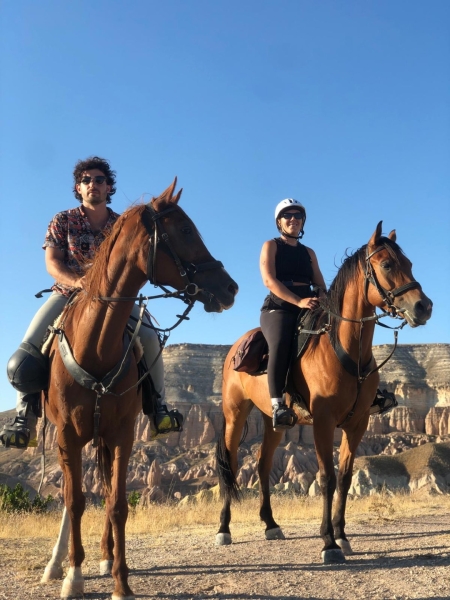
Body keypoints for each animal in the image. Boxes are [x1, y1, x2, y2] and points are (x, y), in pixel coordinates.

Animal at [39, 179, 239, 600]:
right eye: (185, 230)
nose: (230, 288)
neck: (96, 346)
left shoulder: (122, 434)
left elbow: (116, 504)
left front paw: (120, 581)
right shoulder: (66, 435)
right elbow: (74, 501)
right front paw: (73, 576)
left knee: (101, 489)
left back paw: (103, 556)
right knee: (71, 499)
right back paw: (57, 564)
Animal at [217, 220, 432, 564]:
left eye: (409, 264)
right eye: (387, 264)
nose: (423, 306)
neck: (345, 351)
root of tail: (235, 349)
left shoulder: (357, 424)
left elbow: (344, 478)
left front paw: (342, 536)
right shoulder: (323, 422)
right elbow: (326, 478)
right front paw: (329, 543)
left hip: (274, 422)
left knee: (263, 465)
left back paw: (271, 524)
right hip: (235, 414)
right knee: (231, 465)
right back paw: (224, 529)